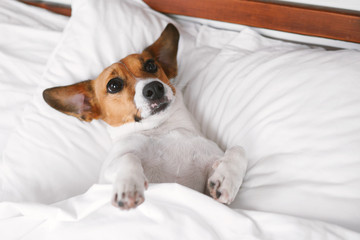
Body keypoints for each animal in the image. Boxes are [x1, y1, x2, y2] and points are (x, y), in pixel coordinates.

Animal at [41, 23, 245, 210]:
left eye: (151, 65)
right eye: (113, 85)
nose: (154, 88)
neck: (163, 129)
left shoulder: (208, 182)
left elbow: (238, 150)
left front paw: (226, 179)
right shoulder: (107, 173)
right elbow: (129, 158)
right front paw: (129, 186)